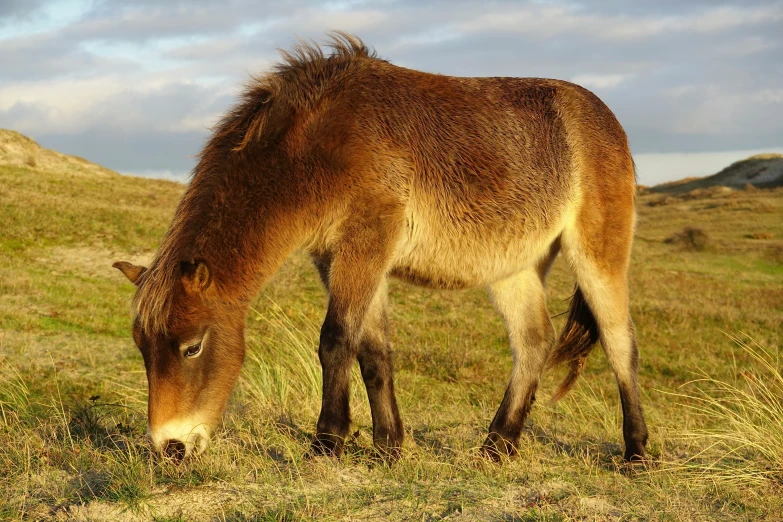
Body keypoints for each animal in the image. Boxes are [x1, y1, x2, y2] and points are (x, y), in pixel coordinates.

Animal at [112, 33, 648, 464]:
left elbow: (335, 341)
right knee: (534, 342)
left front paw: (326, 442)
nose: (169, 448)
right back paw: (497, 446)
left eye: (192, 346)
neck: (317, 145)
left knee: (619, 341)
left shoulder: (367, 244)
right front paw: (388, 446)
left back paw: (636, 452)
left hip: (597, 255)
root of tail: (607, 120)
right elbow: (373, 350)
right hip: (513, 268)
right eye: (142, 348)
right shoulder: (339, 257)